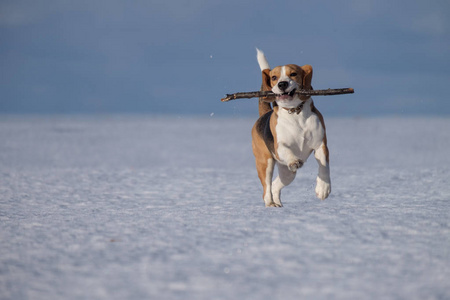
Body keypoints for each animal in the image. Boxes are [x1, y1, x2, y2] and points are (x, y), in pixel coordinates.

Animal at [250, 48, 330, 206]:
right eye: (274, 77)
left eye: (293, 74)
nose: (282, 84)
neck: (295, 112)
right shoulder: (279, 147)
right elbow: (287, 151)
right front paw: (294, 160)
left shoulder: (320, 144)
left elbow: (324, 165)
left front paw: (323, 189)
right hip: (265, 162)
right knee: (266, 188)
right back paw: (270, 203)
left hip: (288, 173)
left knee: (275, 185)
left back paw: (278, 204)